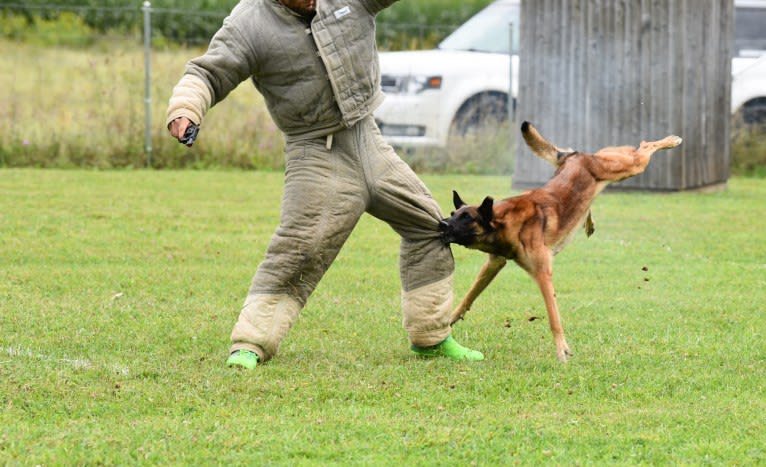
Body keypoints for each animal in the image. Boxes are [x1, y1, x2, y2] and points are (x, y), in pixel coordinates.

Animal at [438, 120, 684, 362]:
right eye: (453, 213)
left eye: (466, 218)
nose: (441, 224)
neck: (503, 221)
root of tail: (575, 156)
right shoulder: (494, 263)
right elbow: (470, 294)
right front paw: (451, 319)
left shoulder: (542, 273)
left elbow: (553, 315)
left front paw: (562, 349)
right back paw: (588, 222)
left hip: (628, 166)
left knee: (644, 146)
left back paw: (672, 140)